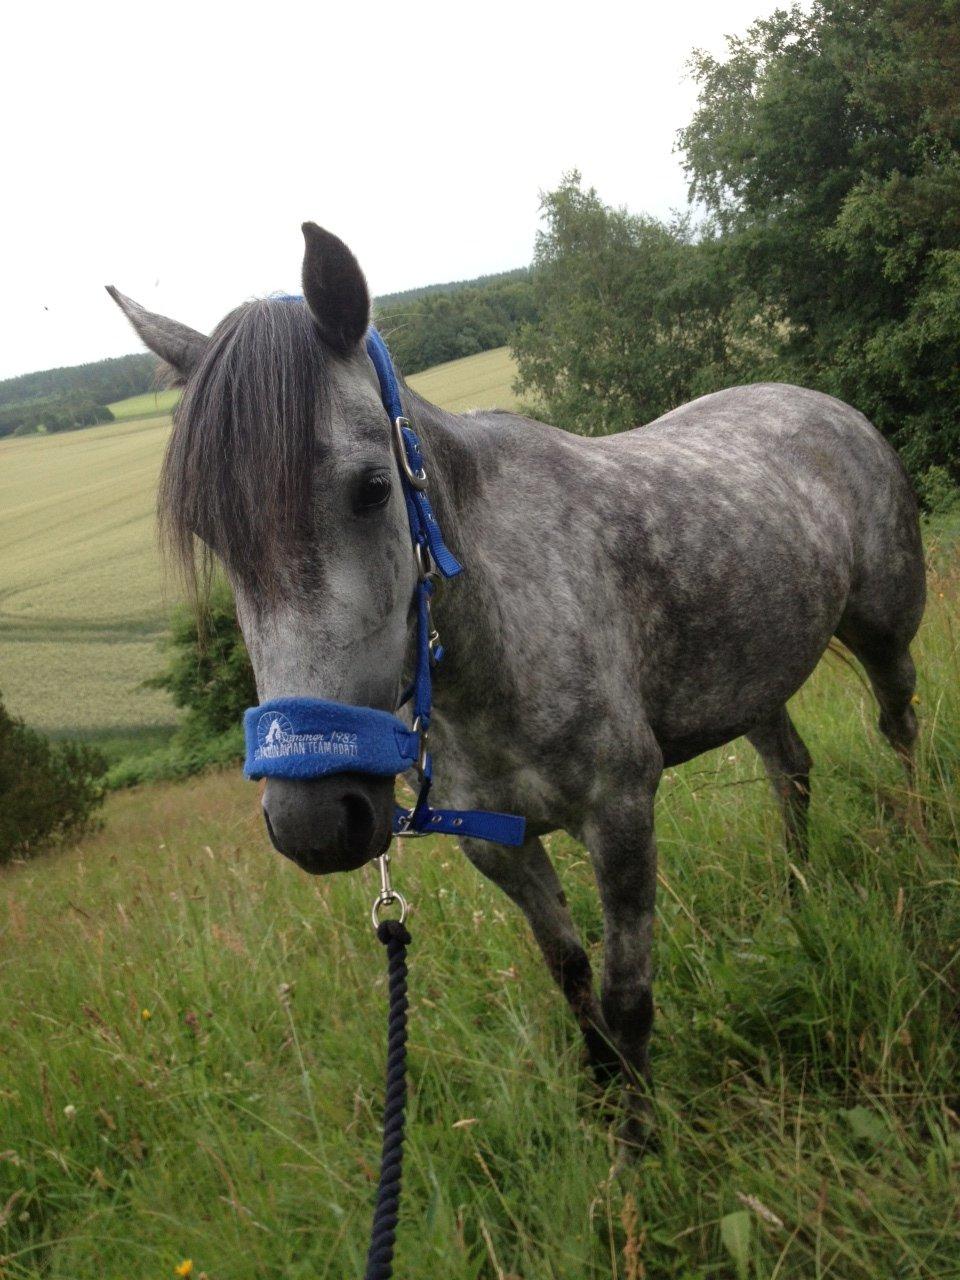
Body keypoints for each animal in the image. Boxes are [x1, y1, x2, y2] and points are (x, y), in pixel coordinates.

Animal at [108, 223, 926, 1151]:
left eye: (372, 487)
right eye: (213, 530)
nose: (314, 821)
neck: (499, 634)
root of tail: (826, 406)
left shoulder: (620, 813)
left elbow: (627, 992)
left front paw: (641, 1150)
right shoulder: (498, 845)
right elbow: (570, 976)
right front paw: (604, 1101)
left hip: (884, 634)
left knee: (899, 726)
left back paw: (916, 839)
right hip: (751, 681)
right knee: (791, 772)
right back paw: (797, 904)